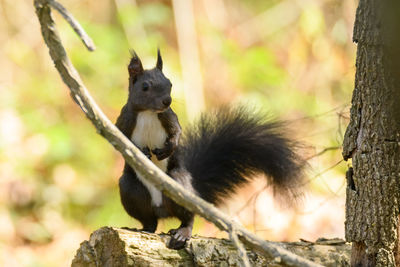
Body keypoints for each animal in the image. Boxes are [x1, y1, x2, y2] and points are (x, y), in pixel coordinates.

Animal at [115, 49, 304, 250]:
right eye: (145, 87)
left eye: (170, 83)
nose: (167, 101)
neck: (149, 113)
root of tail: (162, 208)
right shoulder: (124, 119)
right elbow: (120, 138)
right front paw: (140, 150)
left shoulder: (168, 116)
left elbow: (177, 131)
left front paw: (169, 148)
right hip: (131, 191)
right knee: (150, 221)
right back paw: (143, 229)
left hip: (180, 185)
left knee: (188, 218)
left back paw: (182, 233)